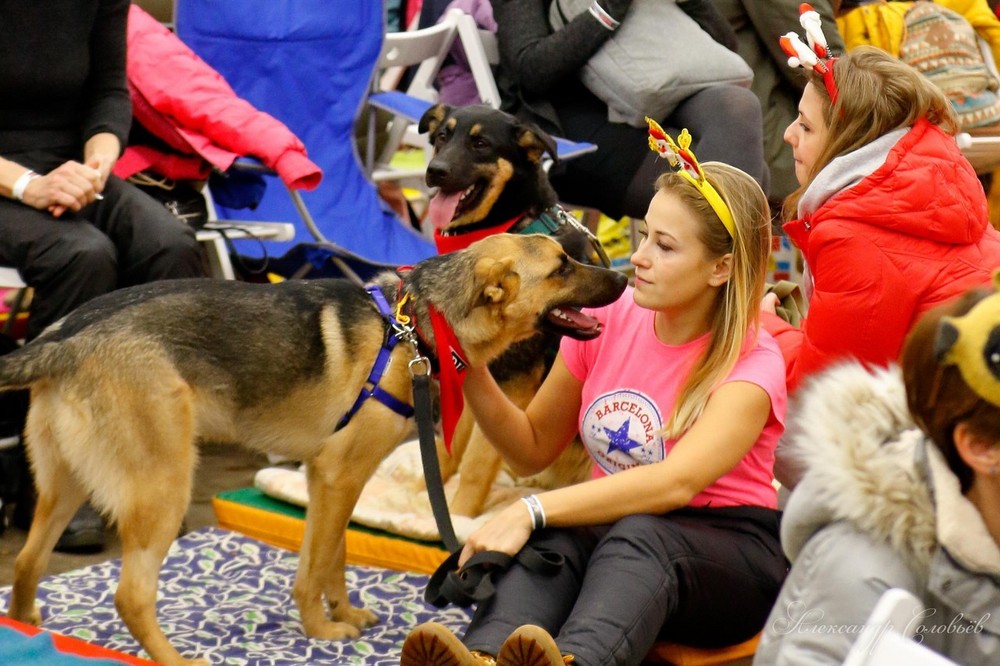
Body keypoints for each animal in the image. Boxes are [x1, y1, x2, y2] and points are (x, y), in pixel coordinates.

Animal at [0, 230, 624, 664]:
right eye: (562, 268)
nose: (623, 284)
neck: (411, 328)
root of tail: (62, 337)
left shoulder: (332, 480)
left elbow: (333, 560)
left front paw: (341, 613)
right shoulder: (338, 476)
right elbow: (316, 566)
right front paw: (321, 631)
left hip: (64, 487)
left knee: (28, 563)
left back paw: (31, 632)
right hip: (163, 489)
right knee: (130, 596)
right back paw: (172, 659)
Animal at [416, 102, 608, 512]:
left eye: (481, 144)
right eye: (442, 136)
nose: (434, 171)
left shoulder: (512, 385)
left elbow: (474, 464)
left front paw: (459, 516)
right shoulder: (475, 375)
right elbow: (449, 449)